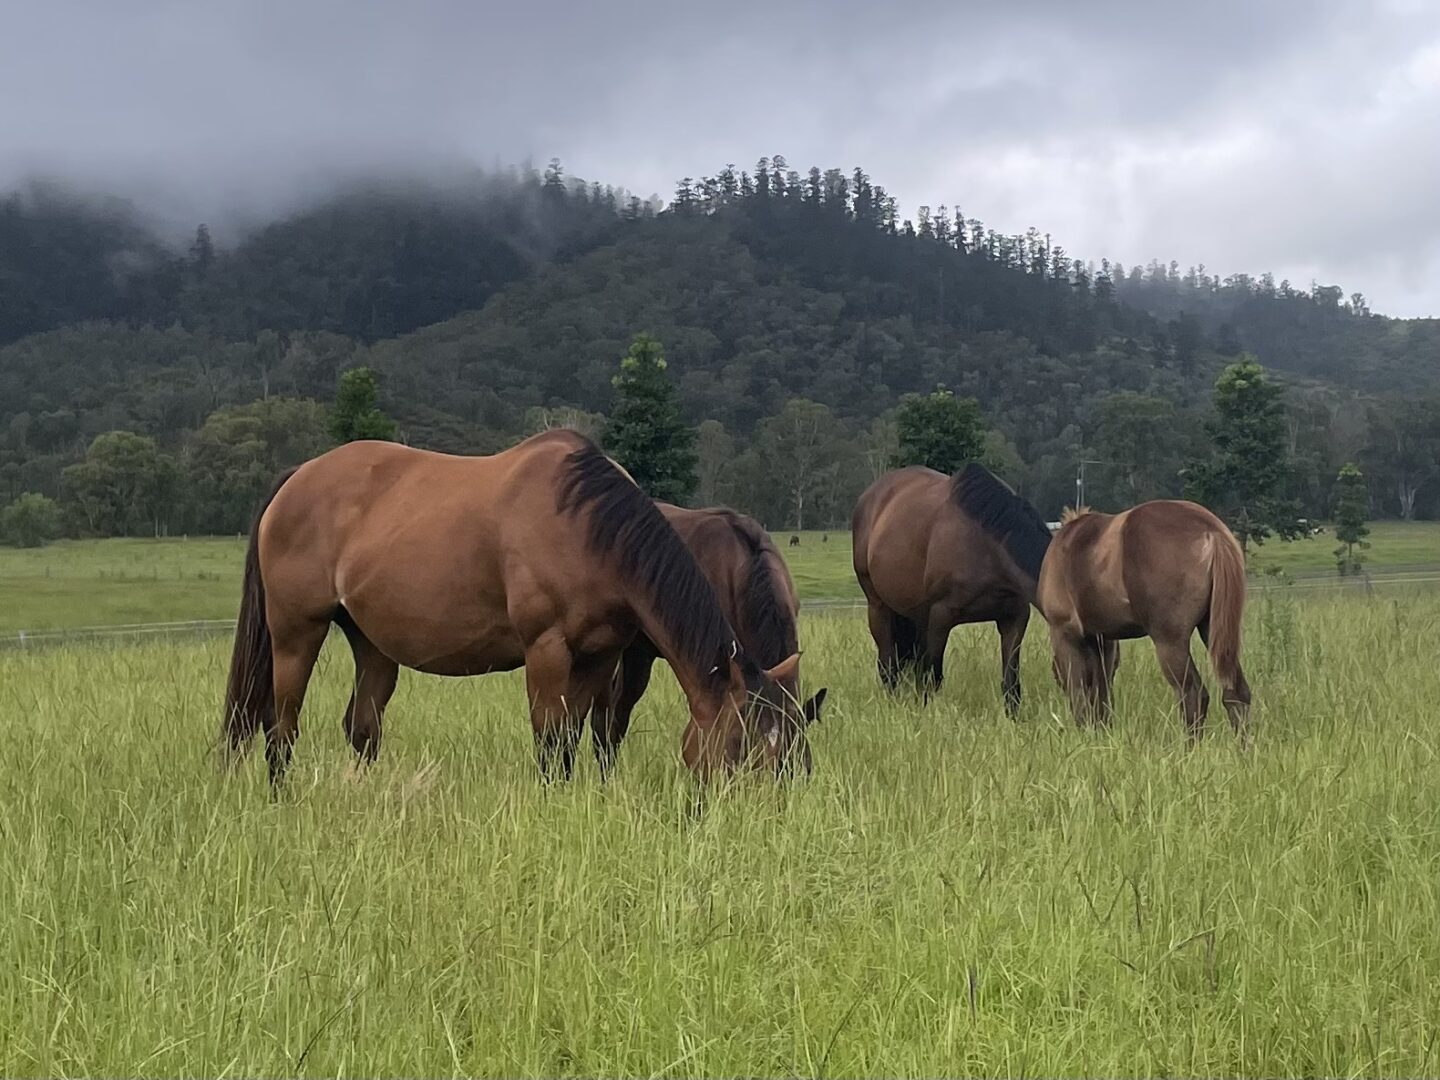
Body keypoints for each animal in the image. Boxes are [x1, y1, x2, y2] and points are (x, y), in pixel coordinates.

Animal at [851, 464, 1052, 711]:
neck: (987, 546)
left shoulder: (1014, 618)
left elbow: (1011, 684)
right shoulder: (940, 617)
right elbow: (931, 678)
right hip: (879, 607)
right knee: (889, 666)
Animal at [1036, 501, 1251, 743]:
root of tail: (1211, 530)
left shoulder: (1064, 634)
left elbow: (1080, 694)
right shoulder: (1103, 640)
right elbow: (1101, 695)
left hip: (1170, 641)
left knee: (1193, 694)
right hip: (1212, 629)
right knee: (1236, 692)